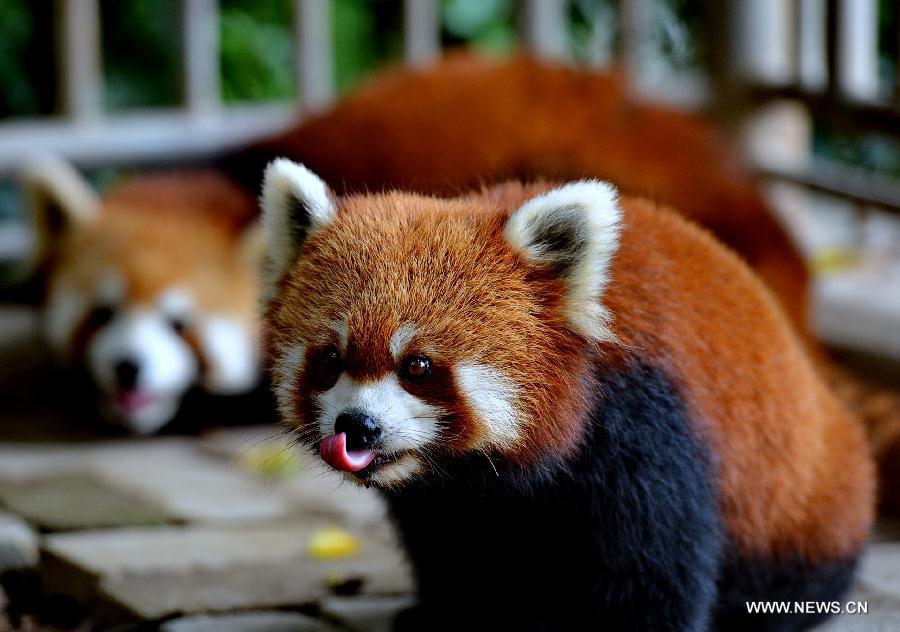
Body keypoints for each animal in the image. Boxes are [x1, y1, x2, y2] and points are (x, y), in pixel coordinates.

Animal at [258, 159, 872, 632]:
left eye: (418, 366)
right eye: (330, 359)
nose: (356, 426)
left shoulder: (649, 428)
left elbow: (655, 566)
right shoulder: (449, 498)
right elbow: (452, 548)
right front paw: (449, 614)